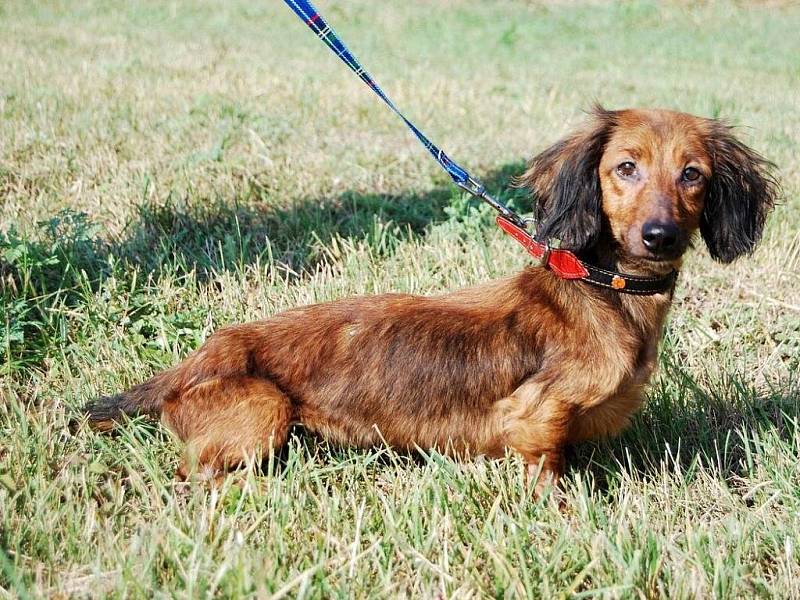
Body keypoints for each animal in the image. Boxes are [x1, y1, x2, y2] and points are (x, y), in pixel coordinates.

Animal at [84, 110, 780, 494]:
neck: (602, 288)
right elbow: (547, 468)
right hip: (263, 408)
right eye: (625, 168)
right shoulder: (533, 413)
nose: (660, 236)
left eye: (692, 174)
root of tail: (202, 355)